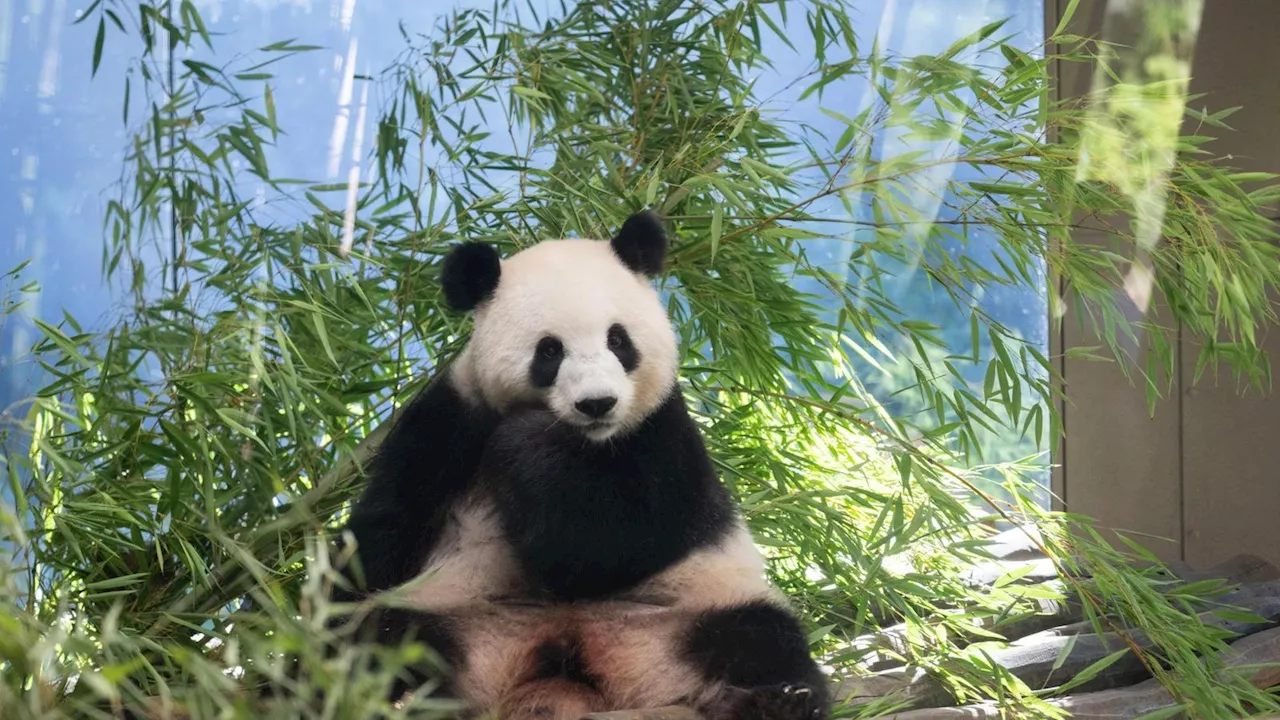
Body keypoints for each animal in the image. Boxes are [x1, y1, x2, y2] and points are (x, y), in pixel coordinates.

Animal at [330, 208, 829, 717]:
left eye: (618, 340)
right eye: (550, 350)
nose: (597, 403)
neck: (585, 444)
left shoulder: (660, 429)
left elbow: (609, 542)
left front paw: (524, 441)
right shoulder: (450, 418)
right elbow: (386, 527)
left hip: (690, 608)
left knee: (758, 636)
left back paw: (776, 699)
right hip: (456, 612)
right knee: (389, 635)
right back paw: (388, 692)